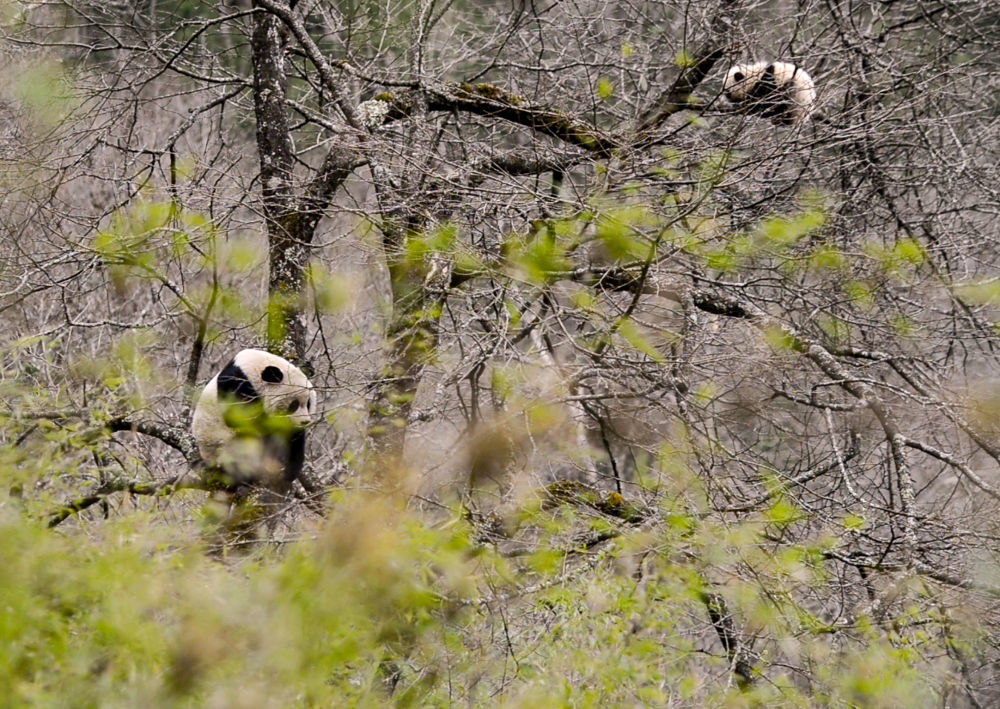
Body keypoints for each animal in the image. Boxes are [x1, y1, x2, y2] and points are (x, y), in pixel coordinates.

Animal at [191, 348, 316, 492]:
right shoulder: (236, 385)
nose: (304, 422)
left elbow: (293, 441)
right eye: (294, 405)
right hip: (220, 446)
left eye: (308, 404)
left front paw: (289, 470)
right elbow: (240, 420)